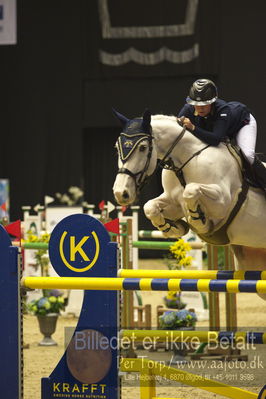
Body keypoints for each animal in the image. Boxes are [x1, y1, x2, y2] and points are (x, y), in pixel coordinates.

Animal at [112, 109, 266, 282]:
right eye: (117, 147)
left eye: (143, 147)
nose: (121, 193)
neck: (185, 161)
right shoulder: (173, 201)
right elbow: (150, 207)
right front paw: (173, 227)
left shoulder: (223, 200)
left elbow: (191, 191)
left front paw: (200, 223)